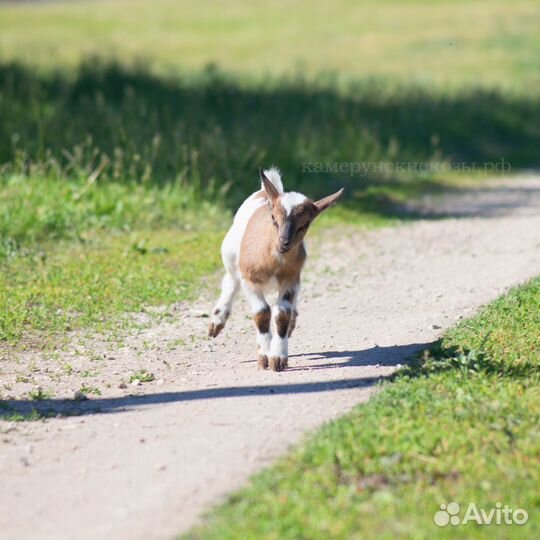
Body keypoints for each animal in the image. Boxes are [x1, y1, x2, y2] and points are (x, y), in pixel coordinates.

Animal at [207, 169, 342, 372]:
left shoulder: (291, 279)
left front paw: (278, 357)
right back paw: (217, 321)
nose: (284, 242)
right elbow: (262, 312)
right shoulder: (250, 279)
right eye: (273, 218)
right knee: (231, 281)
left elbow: (282, 314)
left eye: (305, 224)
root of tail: (267, 191)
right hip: (230, 254)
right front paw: (264, 356)